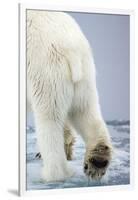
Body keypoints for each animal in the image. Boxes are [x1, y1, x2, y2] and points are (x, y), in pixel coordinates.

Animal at [26, 9, 112, 182]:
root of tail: (71, 48)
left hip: (46, 71)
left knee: (49, 118)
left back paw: (54, 173)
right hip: (85, 76)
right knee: (85, 110)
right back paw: (97, 161)